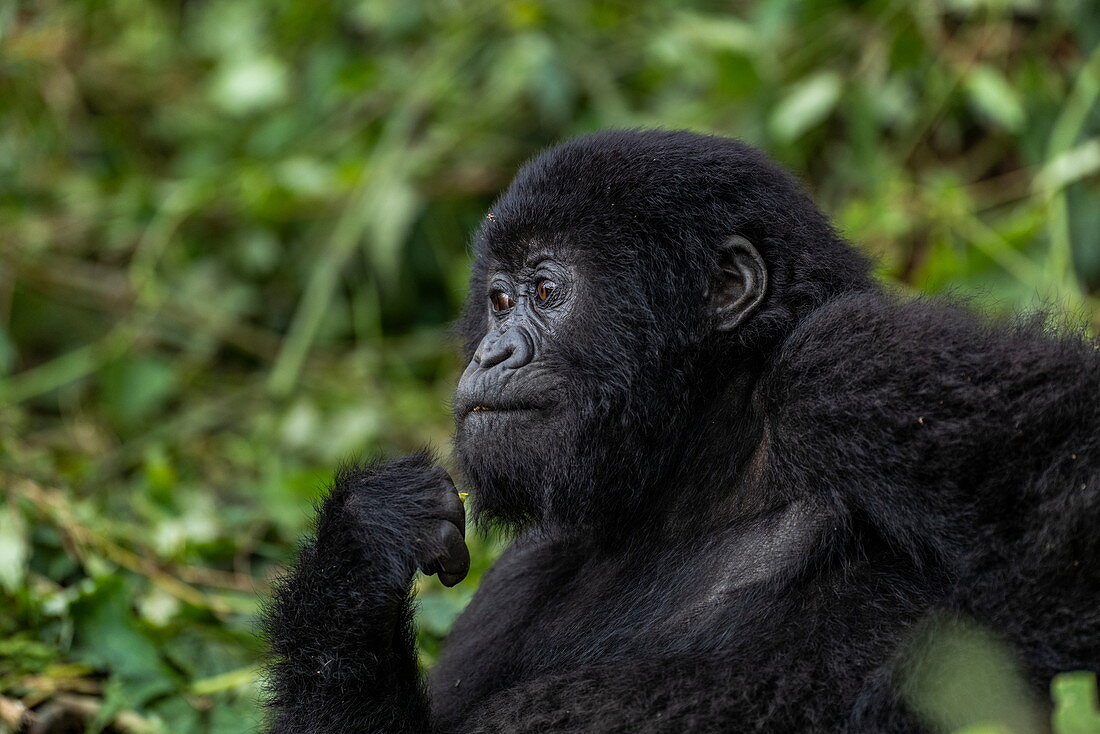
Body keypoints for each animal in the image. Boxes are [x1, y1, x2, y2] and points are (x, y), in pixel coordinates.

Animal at [261, 132, 1095, 734]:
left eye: (546, 291)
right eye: (497, 300)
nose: (488, 354)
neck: (704, 459)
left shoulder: (846, 364)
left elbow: (1072, 517)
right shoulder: (530, 563)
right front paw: (363, 539)